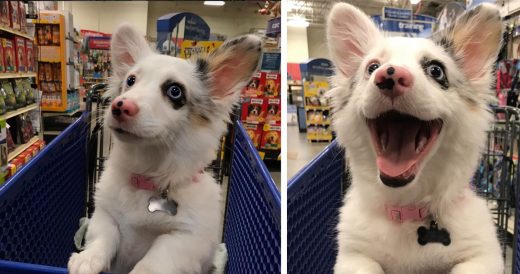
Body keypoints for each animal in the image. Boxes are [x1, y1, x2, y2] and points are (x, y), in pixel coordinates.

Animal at [67, 24, 262, 274]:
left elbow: (154, 259)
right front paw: (87, 259)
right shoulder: (103, 214)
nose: (120, 105)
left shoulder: (184, 238)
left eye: (175, 91)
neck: (148, 175)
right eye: (130, 81)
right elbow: (104, 236)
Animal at [330, 2, 504, 274]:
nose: (388, 75)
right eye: (371, 68)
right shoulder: (353, 255)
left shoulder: (483, 256)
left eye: (436, 70)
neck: (407, 208)